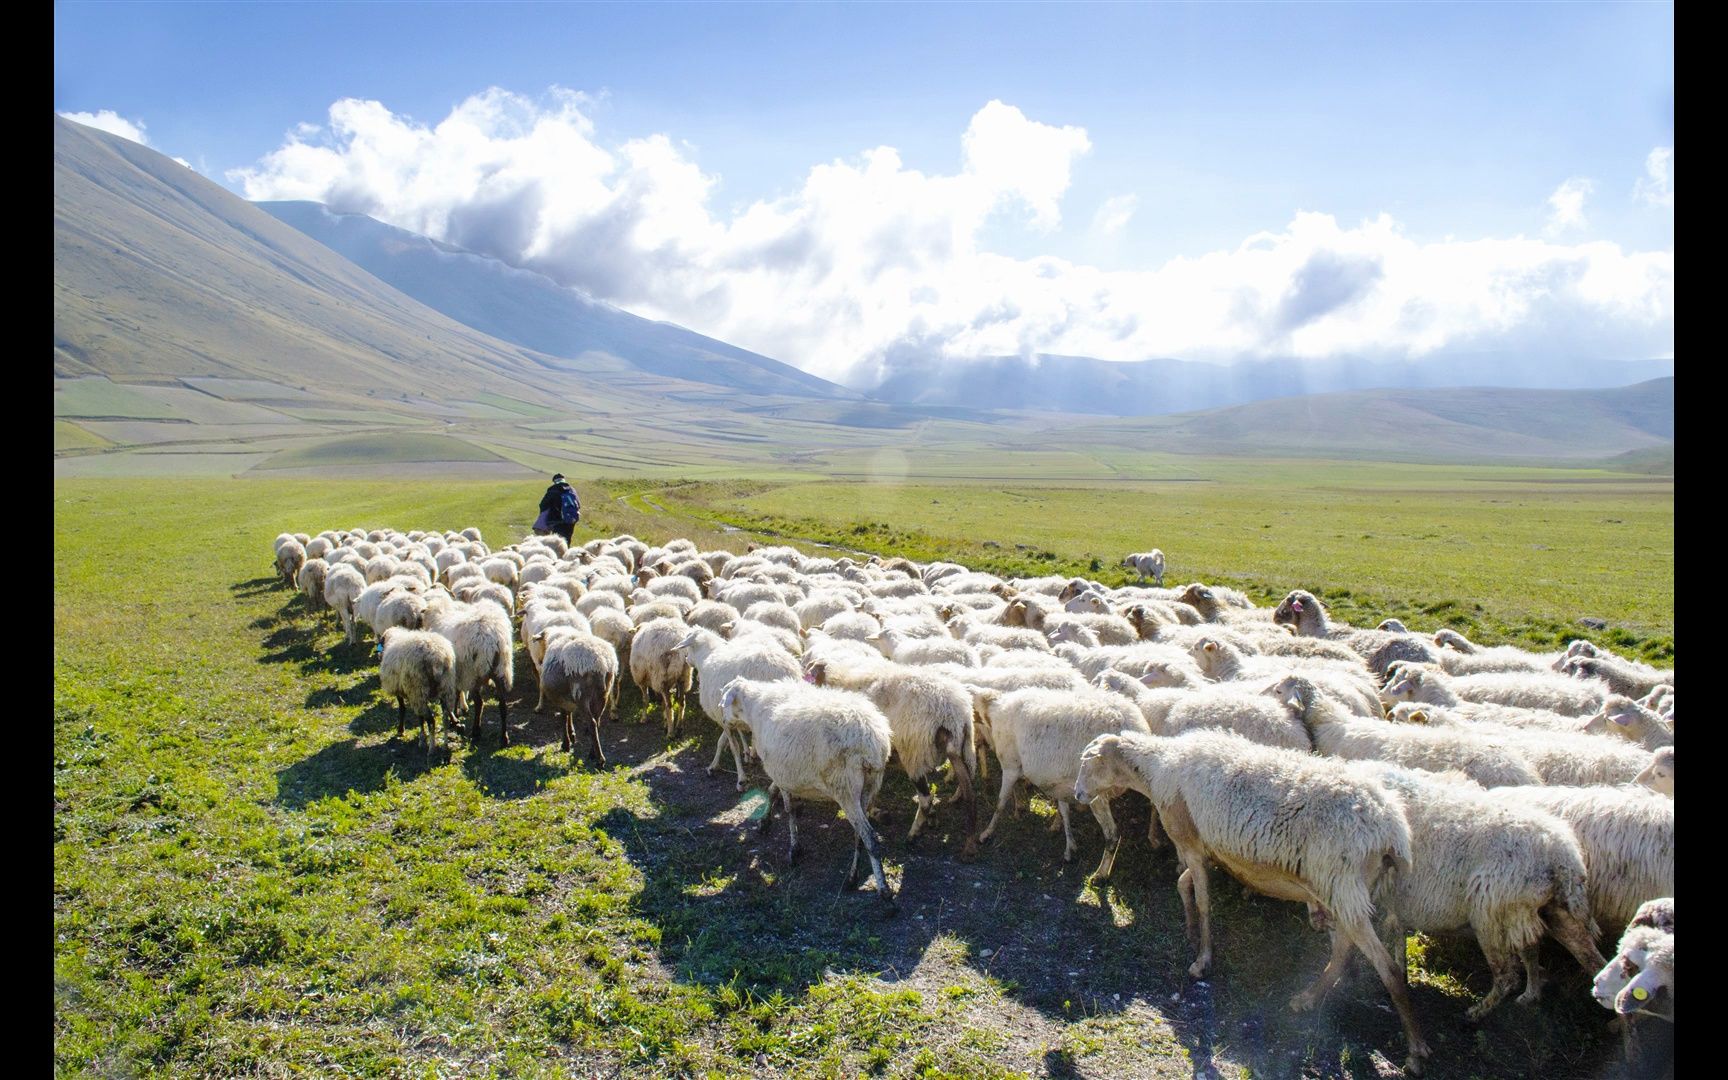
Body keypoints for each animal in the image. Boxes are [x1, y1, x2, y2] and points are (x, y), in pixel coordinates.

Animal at [718, 677, 905, 912]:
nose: (722, 720)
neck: (754, 709)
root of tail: (871, 740)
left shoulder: (782, 773)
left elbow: (789, 811)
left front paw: (794, 850)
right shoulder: (784, 772)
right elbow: (771, 791)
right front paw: (764, 822)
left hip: (845, 788)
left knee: (869, 837)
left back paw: (884, 892)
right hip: (869, 787)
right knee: (859, 835)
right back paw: (852, 878)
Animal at [974, 687, 1147, 881]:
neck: (994, 711)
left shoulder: (1011, 765)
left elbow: (1000, 803)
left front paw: (987, 833)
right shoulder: (1062, 783)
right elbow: (1064, 811)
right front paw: (1069, 847)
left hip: (1096, 793)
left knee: (1112, 835)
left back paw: (1100, 874)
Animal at [1064, 729, 1430, 1071]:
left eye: (1087, 763)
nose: (1078, 794)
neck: (1157, 770)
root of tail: (1390, 829)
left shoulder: (1191, 844)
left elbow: (1204, 903)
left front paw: (1203, 960)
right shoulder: (1207, 849)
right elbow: (1183, 885)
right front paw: (1191, 931)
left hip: (1344, 888)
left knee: (1386, 967)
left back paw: (1414, 1049)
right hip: (1349, 891)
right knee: (1344, 950)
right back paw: (1311, 997)